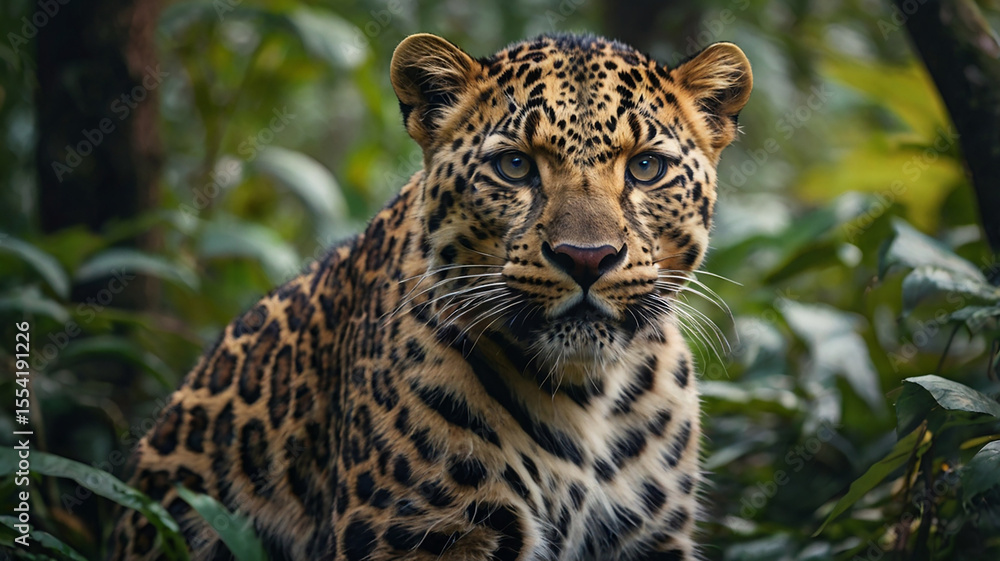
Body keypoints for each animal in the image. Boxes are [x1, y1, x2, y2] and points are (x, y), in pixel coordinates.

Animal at [111, 32, 752, 561]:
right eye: (514, 166)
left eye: (645, 168)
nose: (586, 258)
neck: (588, 390)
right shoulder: (426, 536)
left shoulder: (650, 538)